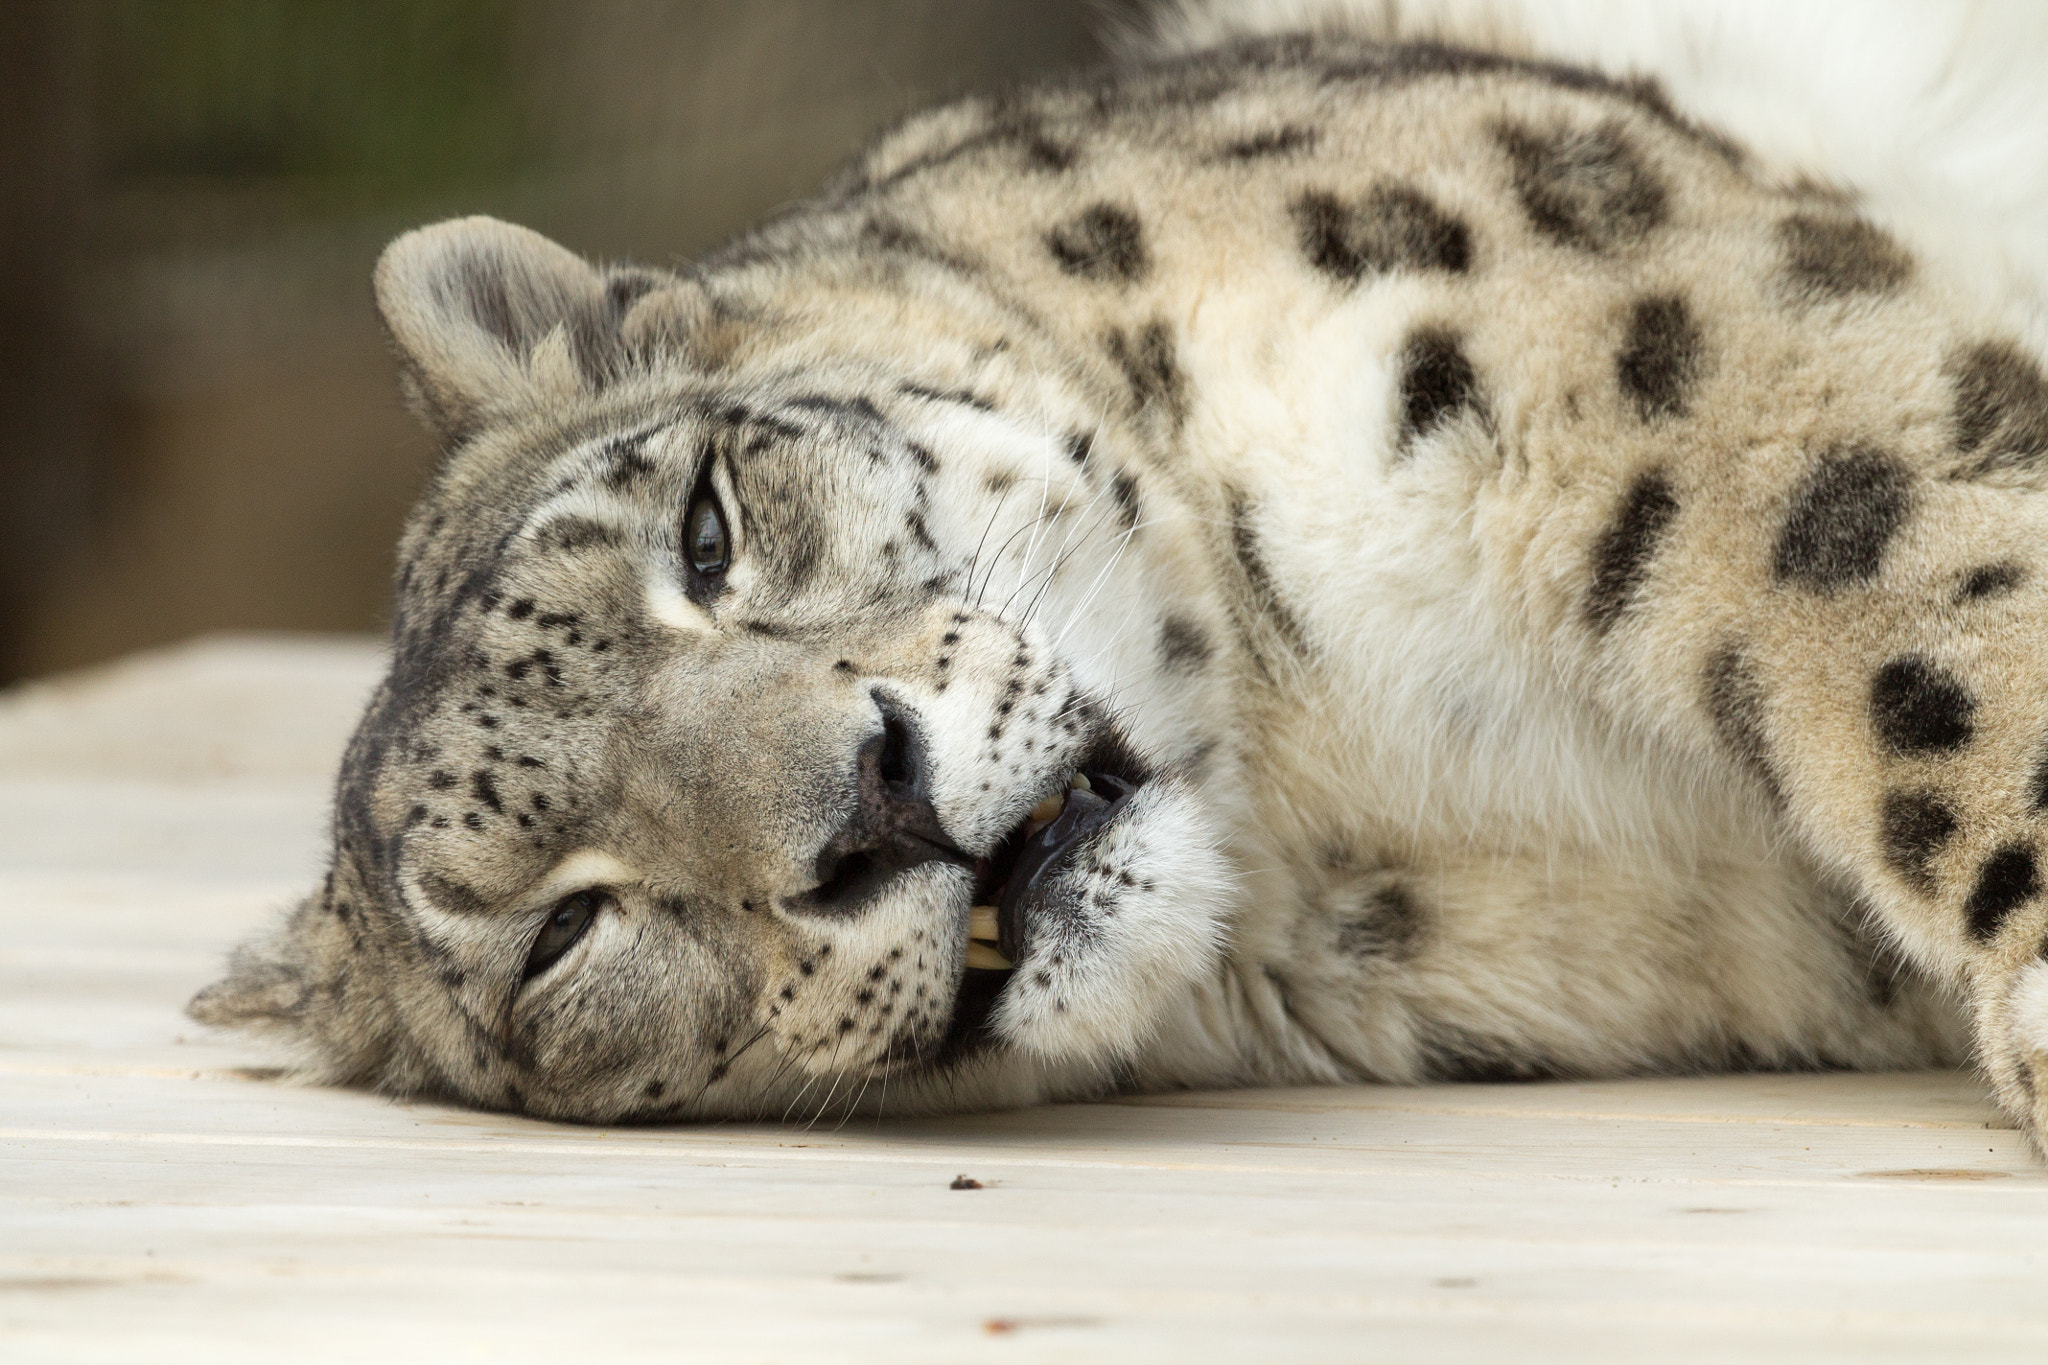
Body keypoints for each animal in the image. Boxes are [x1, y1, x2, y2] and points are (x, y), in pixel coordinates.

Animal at [190, 0, 2048, 1154]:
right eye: (563, 934)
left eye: (705, 533)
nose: (868, 803)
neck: (1335, 771)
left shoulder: (1620, 346)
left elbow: (1901, 599)